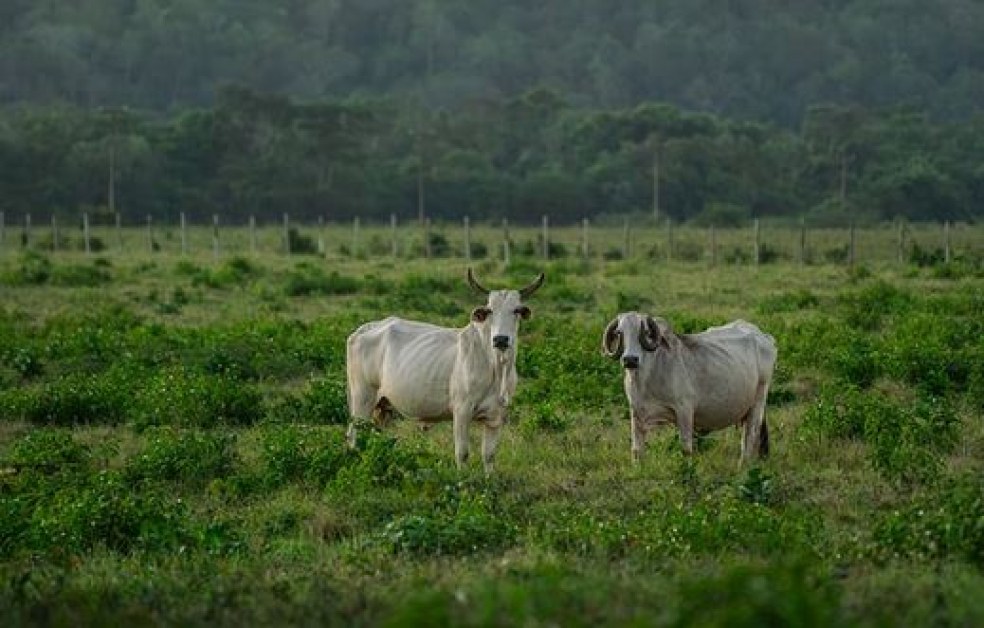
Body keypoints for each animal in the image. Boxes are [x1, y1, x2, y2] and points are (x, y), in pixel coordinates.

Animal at [346, 268, 544, 472]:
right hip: (362, 399)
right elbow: (462, 453)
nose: (501, 339)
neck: (497, 367)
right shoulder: (462, 411)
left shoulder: (496, 416)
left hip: (382, 407)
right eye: (490, 310)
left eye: (516, 310)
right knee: (353, 436)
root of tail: (365, 328)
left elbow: (489, 456)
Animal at [600, 312, 776, 464]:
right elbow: (637, 451)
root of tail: (764, 336)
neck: (647, 378)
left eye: (646, 332)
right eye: (619, 332)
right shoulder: (636, 413)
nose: (630, 360)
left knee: (750, 436)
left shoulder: (684, 411)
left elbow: (686, 449)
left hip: (758, 401)